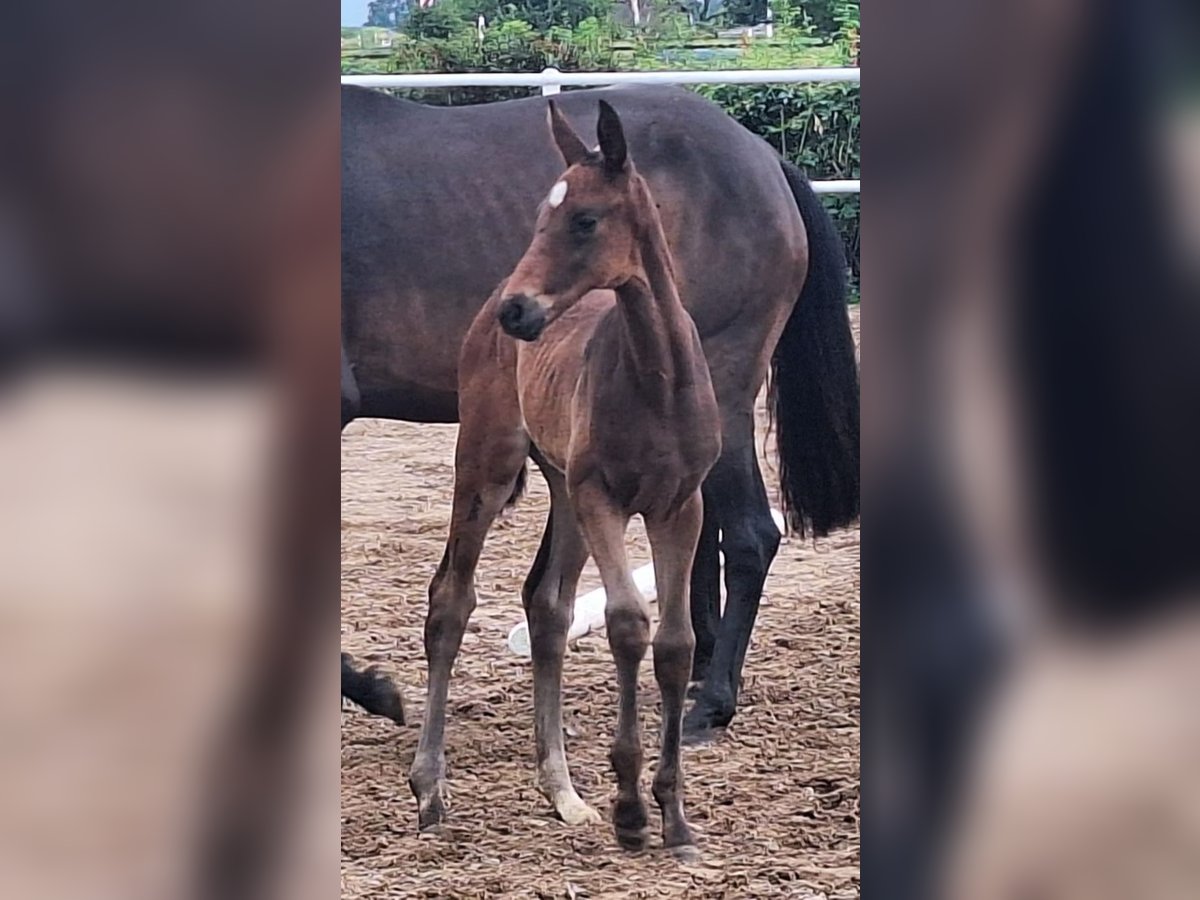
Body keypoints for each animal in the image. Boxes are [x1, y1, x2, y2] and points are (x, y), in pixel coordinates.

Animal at [408, 100, 715, 859]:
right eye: (538, 219)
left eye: (585, 220)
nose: (518, 311)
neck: (657, 379)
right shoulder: (604, 496)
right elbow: (628, 623)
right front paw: (631, 809)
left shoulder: (680, 506)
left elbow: (676, 644)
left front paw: (675, 819)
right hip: (488, 463)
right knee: (450, 599)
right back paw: (430, 789)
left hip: (563, 491)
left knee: (547, 605)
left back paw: (563, 792)